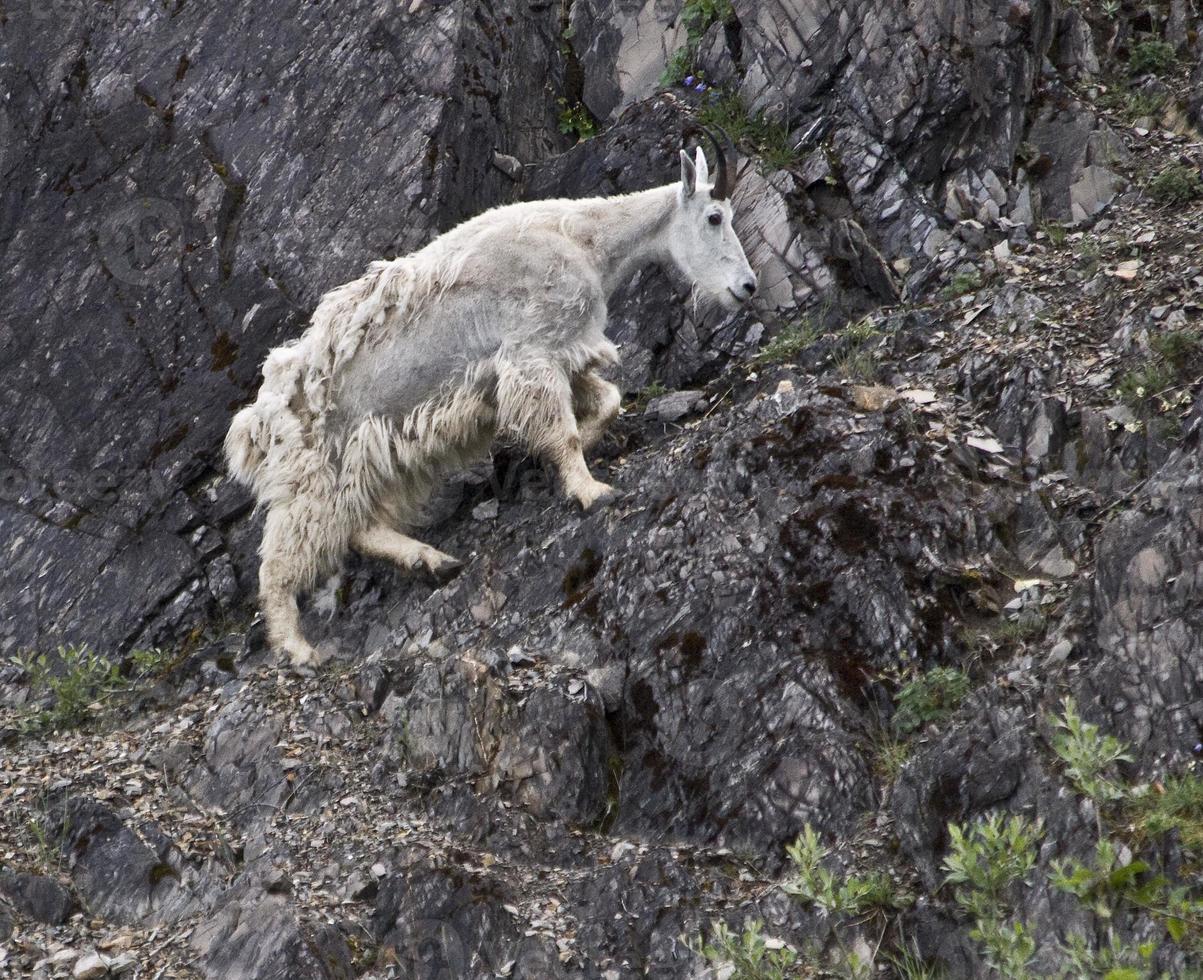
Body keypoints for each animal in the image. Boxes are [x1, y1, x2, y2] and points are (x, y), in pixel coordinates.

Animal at [223, 126, 750, 668]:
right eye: (715, 216)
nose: (747, 287)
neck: (586, 241)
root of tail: (254, 428)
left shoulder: (563, 350)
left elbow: (607, 400)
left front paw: (580, 450)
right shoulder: (532, 351)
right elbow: (563, 431)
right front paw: (591, 490)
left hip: (367, 458)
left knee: (360, 526)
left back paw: (433, 562)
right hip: (310, 474)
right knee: (281, 559)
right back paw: (299, 648)